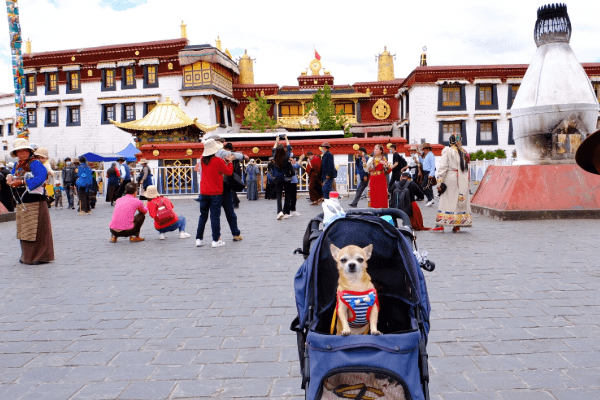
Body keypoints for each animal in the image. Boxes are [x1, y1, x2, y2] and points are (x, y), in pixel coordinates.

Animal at [292, 209, 434, 400]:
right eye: (343, 260)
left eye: (360, 259)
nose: (352, 265)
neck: (356, 286)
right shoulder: (342, 309)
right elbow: (345, 319)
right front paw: (346, 329)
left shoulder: (373, 309)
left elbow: (373, 321)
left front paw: (375, 331)